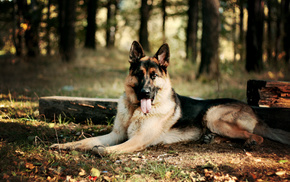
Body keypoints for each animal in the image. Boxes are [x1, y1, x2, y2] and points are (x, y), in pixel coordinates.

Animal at [51, 41, 290, 154]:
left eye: (154, 76)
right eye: (139, 74)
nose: (145, 93)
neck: (135, 110)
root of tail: (253, 112)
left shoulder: (137, 140)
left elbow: (113, 148)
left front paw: (103, 151)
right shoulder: (115, 134)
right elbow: (86, 141)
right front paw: (66, 145)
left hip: (213, 115)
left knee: (255, 136)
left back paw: (250, 141)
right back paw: (210, 138)